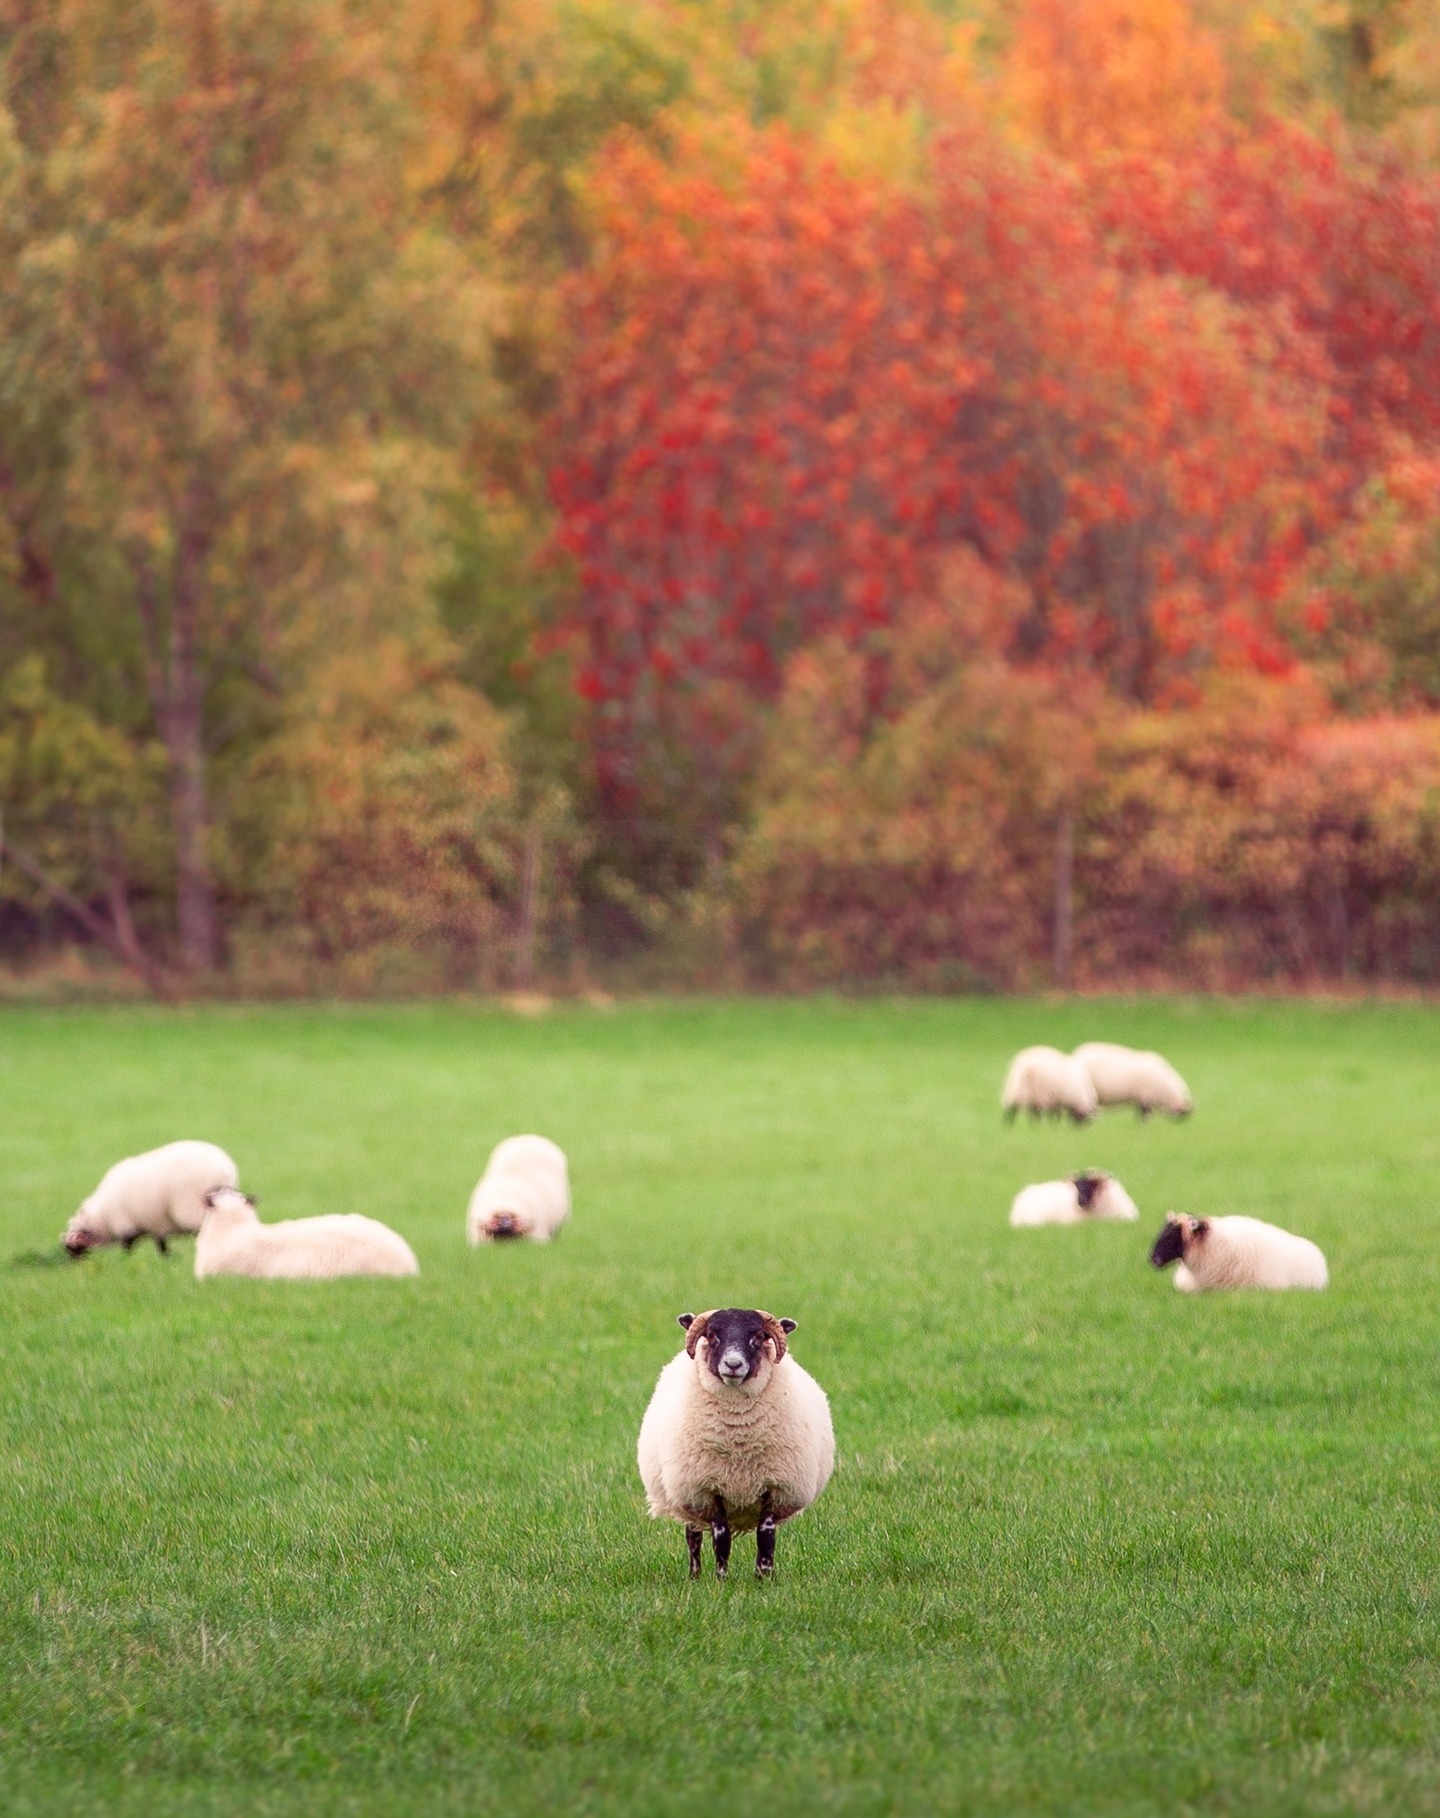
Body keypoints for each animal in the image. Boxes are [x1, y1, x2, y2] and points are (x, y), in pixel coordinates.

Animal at [64, 1140, 239, 1257]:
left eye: (77, 1233)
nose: (68, 1253)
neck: (102, 1219)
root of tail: (224, 1169)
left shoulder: (126, 1225)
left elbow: (128, 1245)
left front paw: (126, 1259)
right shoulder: (155, 1225)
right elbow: (160, 1245)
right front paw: (167, 1258)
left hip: (194, 1208)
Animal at [637, 1308, 835, 1581]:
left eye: (759, 1336)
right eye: (711, 1335)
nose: (733, 1364)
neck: (738, 1435)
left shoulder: (775, 1487)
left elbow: (766, 1537)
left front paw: (764, 1577)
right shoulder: (708, 1491)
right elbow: (721, 1539)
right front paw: (721, 1578)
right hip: (687, 1494)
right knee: (693, 1537)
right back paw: (695, 1576)